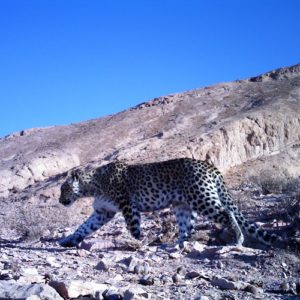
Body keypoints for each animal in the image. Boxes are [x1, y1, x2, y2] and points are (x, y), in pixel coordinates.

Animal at [58, 157, 278, 248]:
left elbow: (133, 227)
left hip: (202, 198)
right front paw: (70, 240)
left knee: (226, 213)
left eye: (63, 189)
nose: (60, 201)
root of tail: (208, 164)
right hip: (182, 205)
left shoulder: (128, 206)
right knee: (187, 227)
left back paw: (238, 239)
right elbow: (83, 227)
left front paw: (138, 242)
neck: (93, 185)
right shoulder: (103, 212)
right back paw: (176, 244)